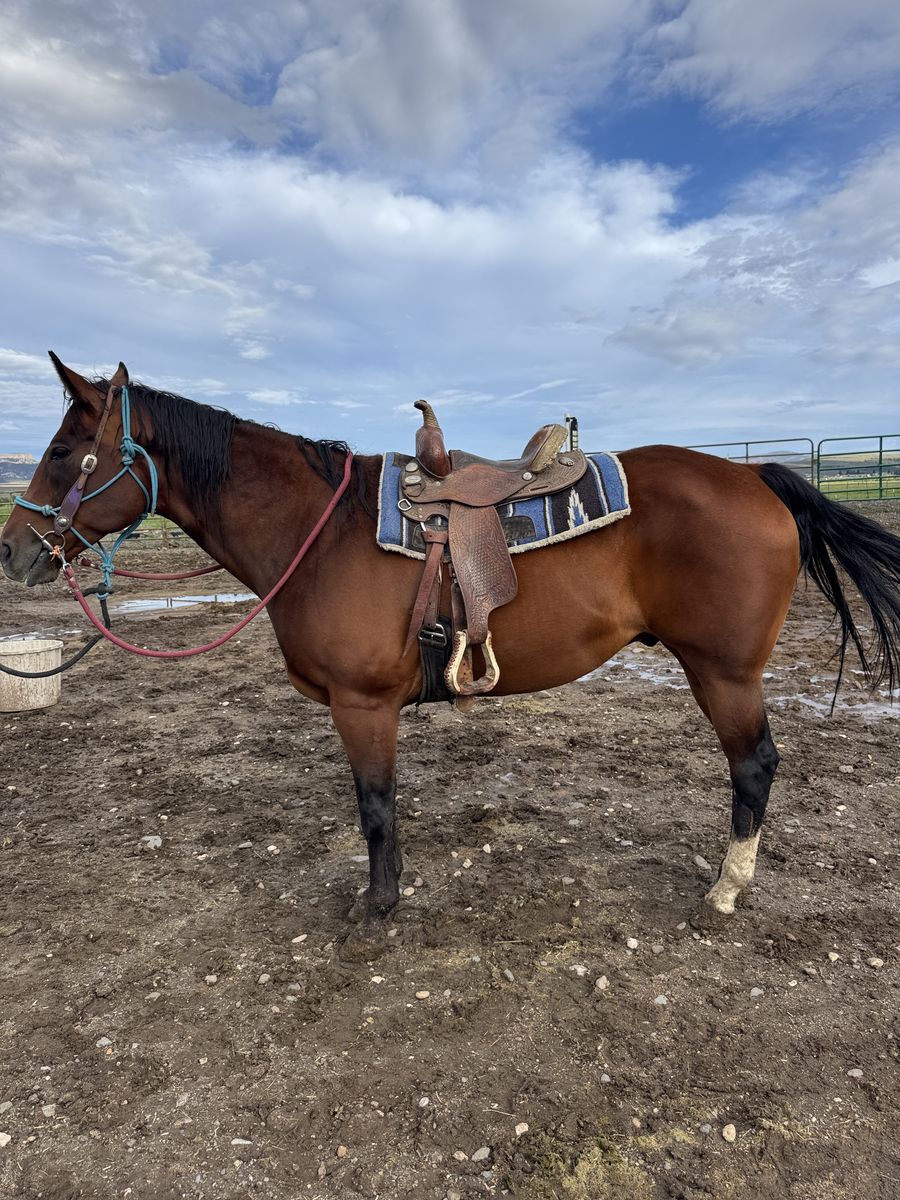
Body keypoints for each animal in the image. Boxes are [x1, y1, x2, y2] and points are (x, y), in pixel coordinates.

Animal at [3, 354, 900, 960]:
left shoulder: (363, 706)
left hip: (723, 672)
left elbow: (375, 809)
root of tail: (759, 480)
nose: (13, 550)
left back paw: (725, 889)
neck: (317, 532)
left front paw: (376, 910)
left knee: (755, 765)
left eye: (61, 452)